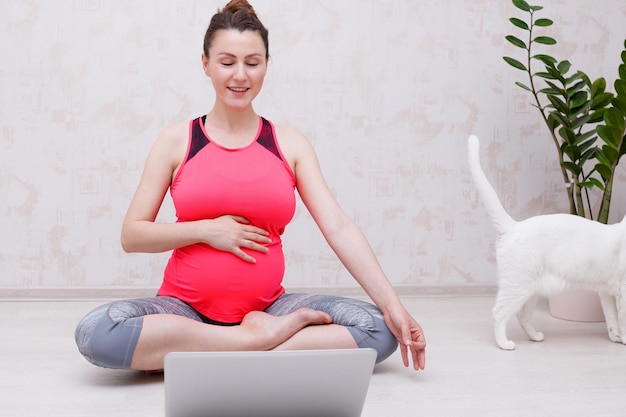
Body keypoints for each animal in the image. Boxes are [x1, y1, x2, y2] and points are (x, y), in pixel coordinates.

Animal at [466, 134, 620, 348]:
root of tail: (513, 226)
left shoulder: (606, 290)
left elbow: (612, 318)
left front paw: (617, 338)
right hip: (518, 286)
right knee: (499, 313)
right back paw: (504, 344)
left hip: (531, 289)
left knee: (522, 316)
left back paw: (535, 336)